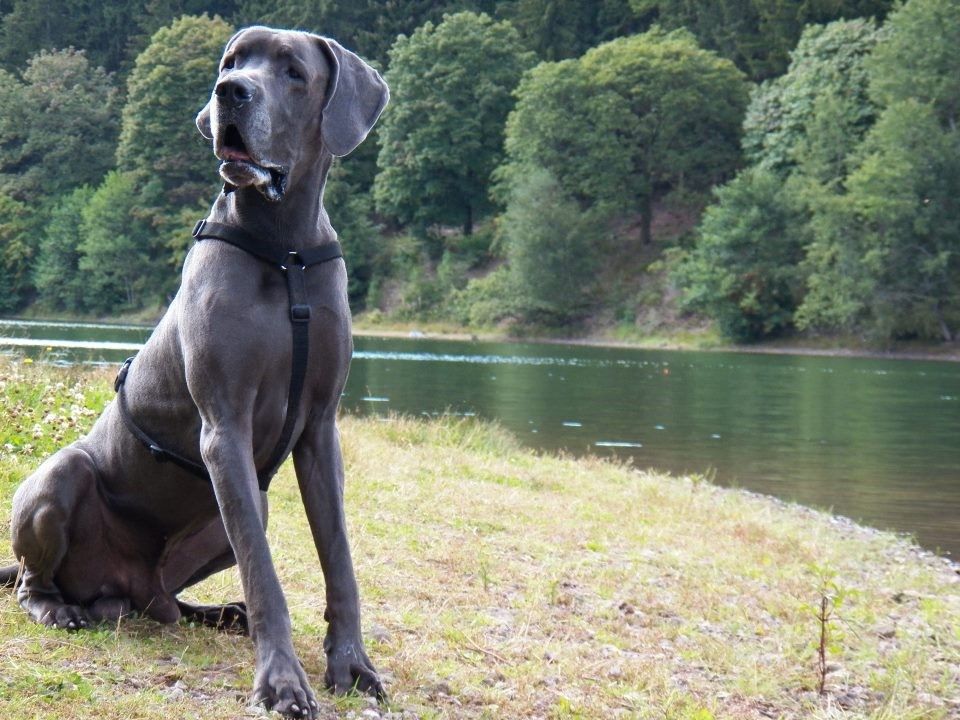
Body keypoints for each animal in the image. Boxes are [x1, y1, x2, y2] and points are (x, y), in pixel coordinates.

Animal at [0, 26, 389, 718]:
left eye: (293, 72)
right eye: (233, 62)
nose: (229, 92)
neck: (285, 248)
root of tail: (122, 586)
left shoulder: (320, 430)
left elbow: (338, 557)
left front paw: (352, 664)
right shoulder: (223, 428)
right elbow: (265, 575)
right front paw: (282, 682)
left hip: (231, 520)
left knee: (169, 602)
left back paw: (211, 611)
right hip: (65, 475)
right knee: (31, 579)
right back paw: (57, 608)